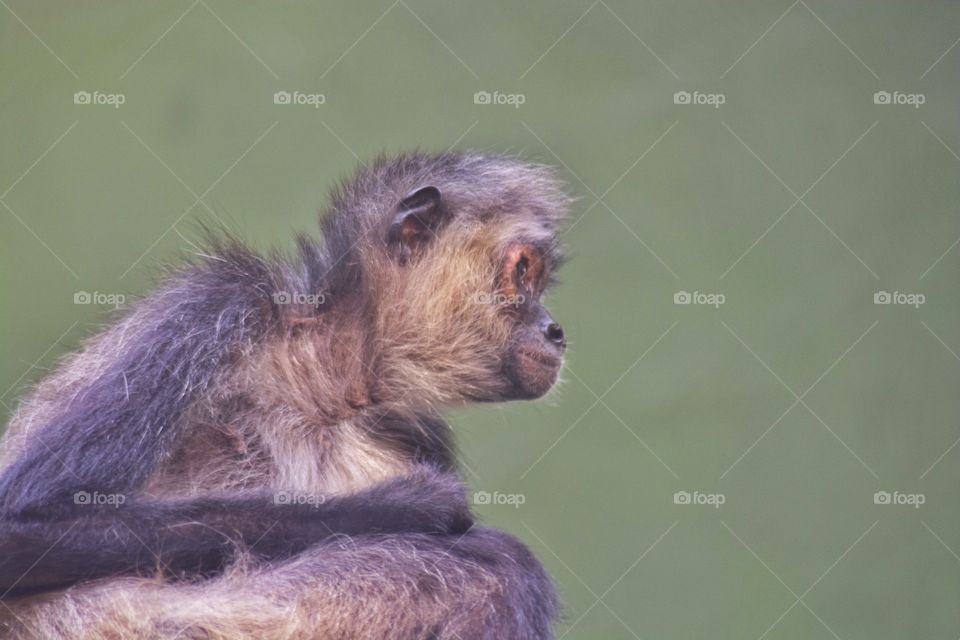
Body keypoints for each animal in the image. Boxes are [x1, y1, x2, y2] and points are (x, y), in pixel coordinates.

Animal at [0, 151, 571, 639]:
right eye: (523, 272)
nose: (556, 330)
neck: (325, 382)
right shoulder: (215, 303)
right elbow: (17, 534)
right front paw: (410, 505)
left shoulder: (416, 427)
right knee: (500, 567)